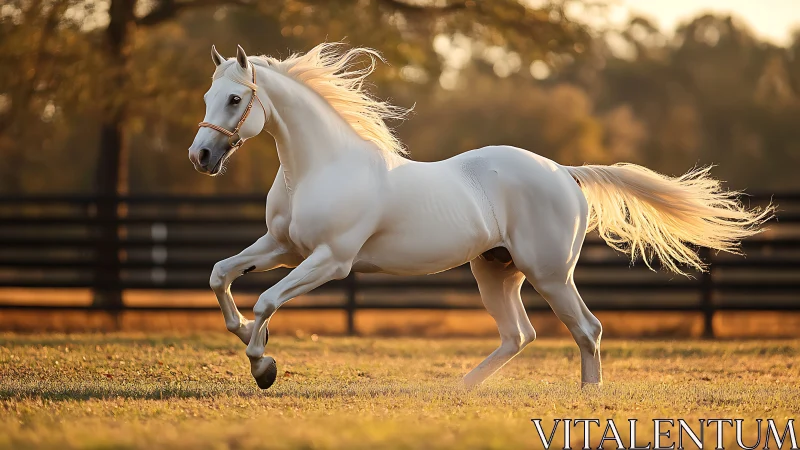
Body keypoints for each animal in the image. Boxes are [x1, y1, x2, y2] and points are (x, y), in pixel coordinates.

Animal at [188, 43, 772, 390]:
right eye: (208, 94)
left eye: (235, 98)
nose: (202, 157)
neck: (320, 165)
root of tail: (564, 172)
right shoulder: (282, 247)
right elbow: (220, 275)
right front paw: (247, 336)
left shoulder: (331, 261)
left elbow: (266, 298)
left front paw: (263, 366)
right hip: (495, 270)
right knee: (520, 335)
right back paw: (461, 390)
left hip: (549, 274)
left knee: (586, 328)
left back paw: (588, 399)